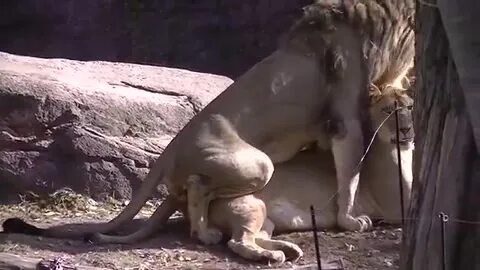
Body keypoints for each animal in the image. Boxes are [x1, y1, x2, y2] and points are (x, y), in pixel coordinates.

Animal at [0, 0, 412, 244]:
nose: (407, 128)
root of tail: (169, 149)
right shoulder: (345, 116)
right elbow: (351, 173)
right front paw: (349, 220)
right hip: (257, 163)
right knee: (199, 186)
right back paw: (208, 234)